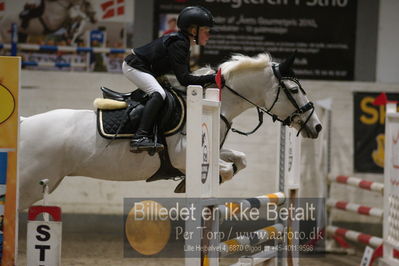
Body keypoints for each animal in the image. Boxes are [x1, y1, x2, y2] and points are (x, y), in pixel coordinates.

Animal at [18, 52, 324, 210]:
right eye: (294, 89)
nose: (317, 126)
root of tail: (23, 123)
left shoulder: (213, 148)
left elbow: (240, 159)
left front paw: (189, 183)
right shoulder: (182, 154)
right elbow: (224, 169)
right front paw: (193, 184)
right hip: (31, 183)